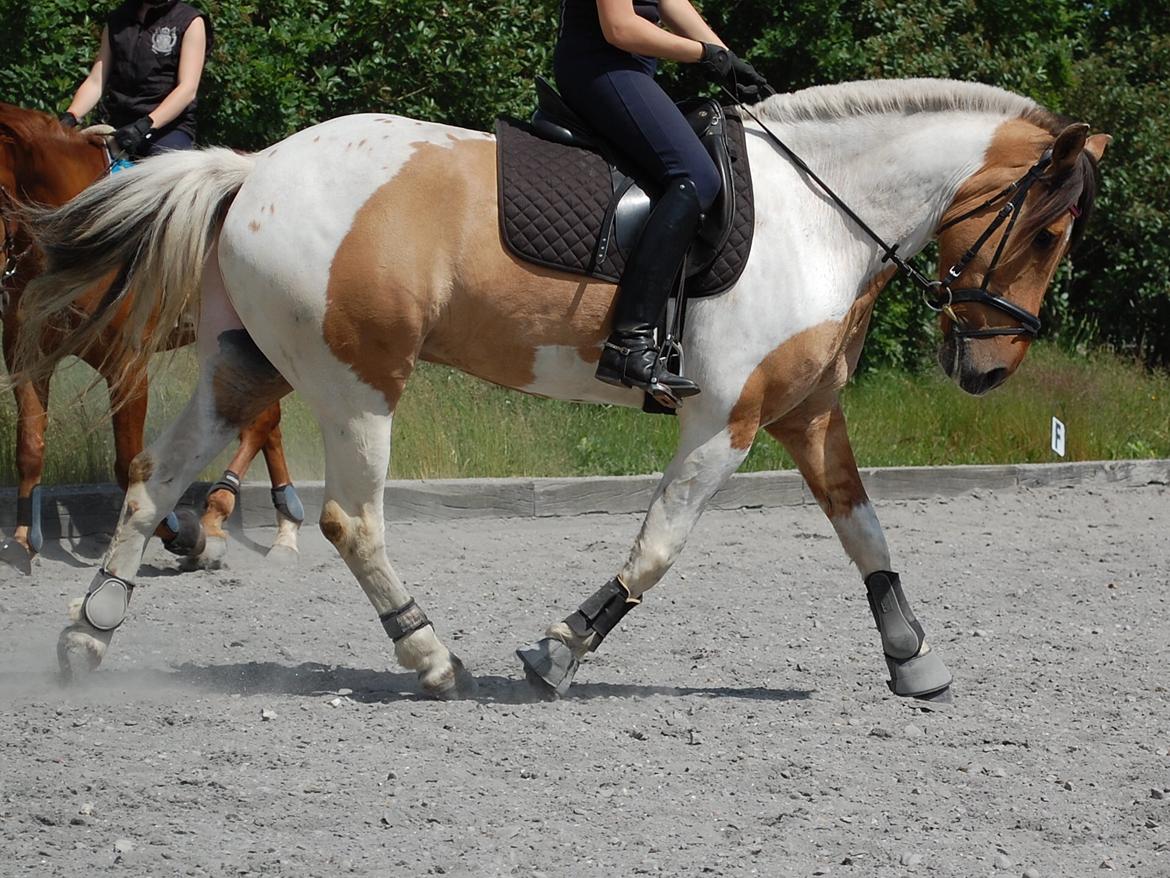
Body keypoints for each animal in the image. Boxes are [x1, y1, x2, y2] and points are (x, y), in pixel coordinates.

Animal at [1, 103, 301, 573]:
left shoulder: (127, 363)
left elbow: (128, 464)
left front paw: (185, 535)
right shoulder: (26, 357)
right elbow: (29, 448)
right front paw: (21, 541)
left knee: (261, 421)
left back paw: (225, 515)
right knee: (266, 421)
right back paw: (280, 525)